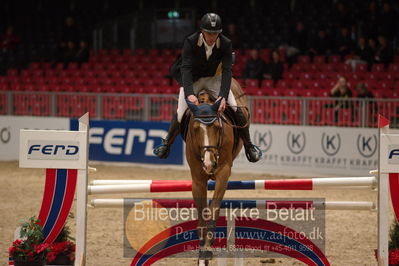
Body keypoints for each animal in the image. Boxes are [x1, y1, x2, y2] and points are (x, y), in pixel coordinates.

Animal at [185, 79, 250, 266]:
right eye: (195, 128)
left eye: (216, 126)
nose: (209, 163)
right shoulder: (198, 179)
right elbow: (202, 215)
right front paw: (202, 254)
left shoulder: (223, 173)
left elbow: (213, 210)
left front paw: (208, 248)